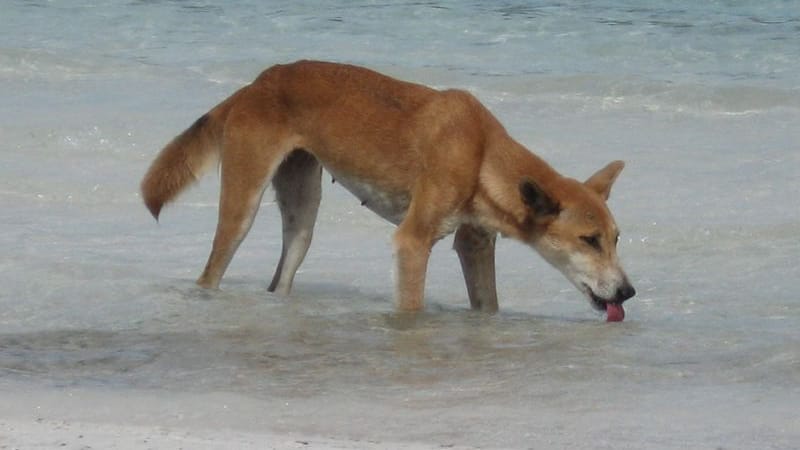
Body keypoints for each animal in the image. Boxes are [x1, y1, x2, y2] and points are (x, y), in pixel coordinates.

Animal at [141, 59, 636, 314]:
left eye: (616, 239)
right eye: (589, 240)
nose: (628, 292)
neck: (480, 152)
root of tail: (257, 82)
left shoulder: (475, 244)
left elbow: (487, 305)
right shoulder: (413, 242)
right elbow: (411, 306)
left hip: (303, 217)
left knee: (280, 279)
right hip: (241, 209)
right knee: (211, 272)